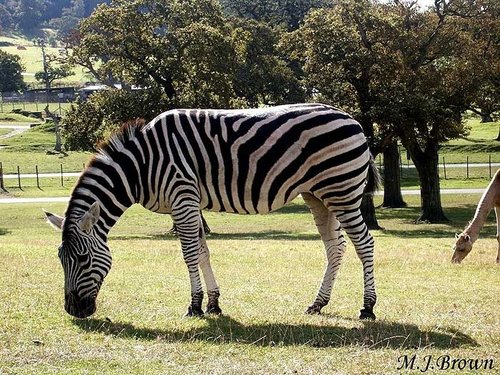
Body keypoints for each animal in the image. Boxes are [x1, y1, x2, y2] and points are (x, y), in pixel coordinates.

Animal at [45, 103, 378, 320]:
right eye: (60, 259)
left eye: (83, 259)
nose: (73, 311)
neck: (141, 166)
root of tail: (353, 120)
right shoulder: (187, 204)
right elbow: (203, 252)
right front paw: (214, 304)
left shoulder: (182, 197)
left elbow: (190, 254)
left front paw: (194, 306)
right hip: (319, 196)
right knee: (336, 247)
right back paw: (318, 304)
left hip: (343, 191)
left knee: (364, 244)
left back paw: (368, 308)